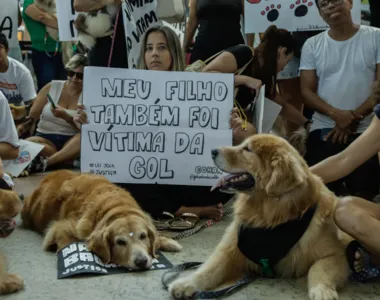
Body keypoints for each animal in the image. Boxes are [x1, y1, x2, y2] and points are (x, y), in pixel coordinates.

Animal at [21, 170, 183, 270]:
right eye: (120, 242)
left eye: (143, 236)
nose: (141, 261)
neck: (117, 207)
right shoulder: (63, 226)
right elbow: (66, 240)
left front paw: (168, 242)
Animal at [169, 135, 354, 300]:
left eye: (247, 149)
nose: (212, 150)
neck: (268, 215)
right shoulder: (230, 249)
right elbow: (208, 269)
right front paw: (185, 283)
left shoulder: (336, 254)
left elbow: (318, 269)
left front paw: (322, 291)